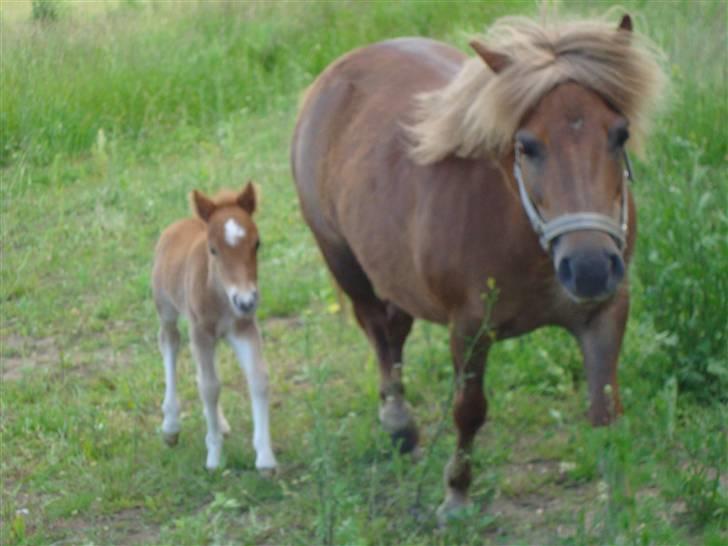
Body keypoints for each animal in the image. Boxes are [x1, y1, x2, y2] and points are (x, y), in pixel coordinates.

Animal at [152, 184, 278, 472]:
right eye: (213, 249)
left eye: (257, 243)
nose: (245, 300)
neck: (221, 296)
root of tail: (178, 225)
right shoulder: (200, 332)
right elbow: (209, 387)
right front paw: (214, 457)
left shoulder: (243, 328)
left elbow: (258, 378)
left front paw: (265, 457)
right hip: (166, 308)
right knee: (169, 343)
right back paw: (171, 426)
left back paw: (219, 424)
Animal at [292, 11, 664, 516]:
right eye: (526, 145)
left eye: (619, 134)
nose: (588, 268)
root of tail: (329, 79)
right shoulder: (469, 327)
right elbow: (469, 410)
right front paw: (456, 494)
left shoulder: (604, 313)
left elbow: (606, 411)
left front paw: (621, 505)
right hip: (345, 261)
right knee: (377, 332)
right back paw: (398, 422)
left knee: (395, 330)